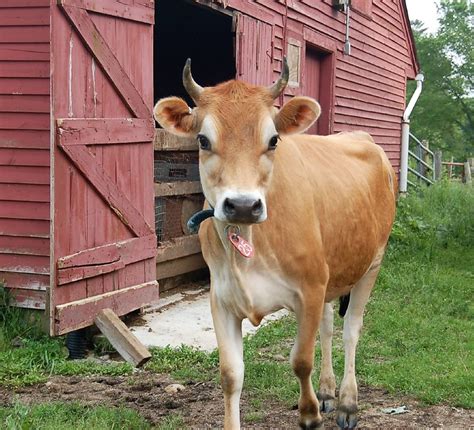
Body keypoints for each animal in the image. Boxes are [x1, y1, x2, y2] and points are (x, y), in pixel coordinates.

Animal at [155, 58, 396, 430]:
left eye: (273, 140)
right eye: (203, 140)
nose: (242, 205)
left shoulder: (309, 289)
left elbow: (300, 360)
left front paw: (309, 415)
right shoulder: (221, 299)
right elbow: (231, 375)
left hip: (373, 262)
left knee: (350, 330)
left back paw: (347, 403)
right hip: (333, 272)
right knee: (328, 327)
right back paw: (327, 392)